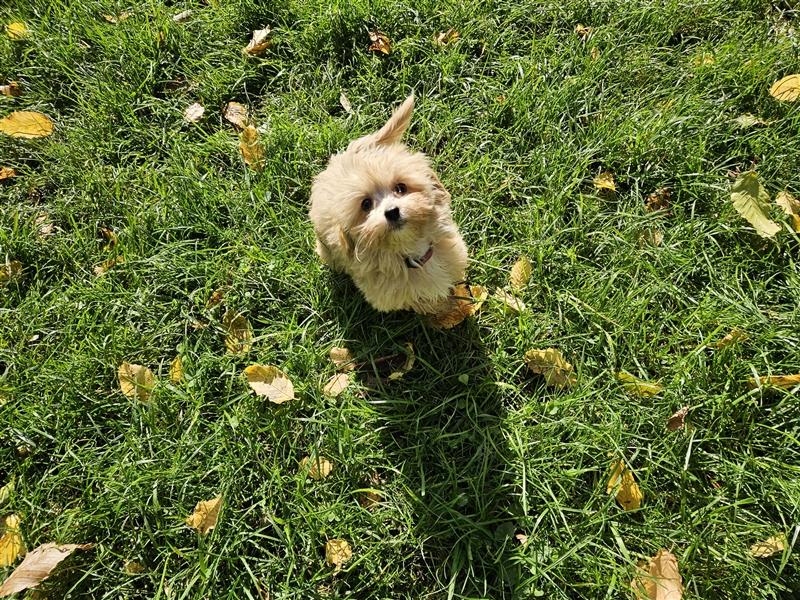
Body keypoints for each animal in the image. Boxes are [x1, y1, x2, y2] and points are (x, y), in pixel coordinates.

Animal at [308, 94, 468, 314]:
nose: (392, 212)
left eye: (401, 188)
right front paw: (447, 310)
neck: (410, 252)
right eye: (366, 204)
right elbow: (426, 302)